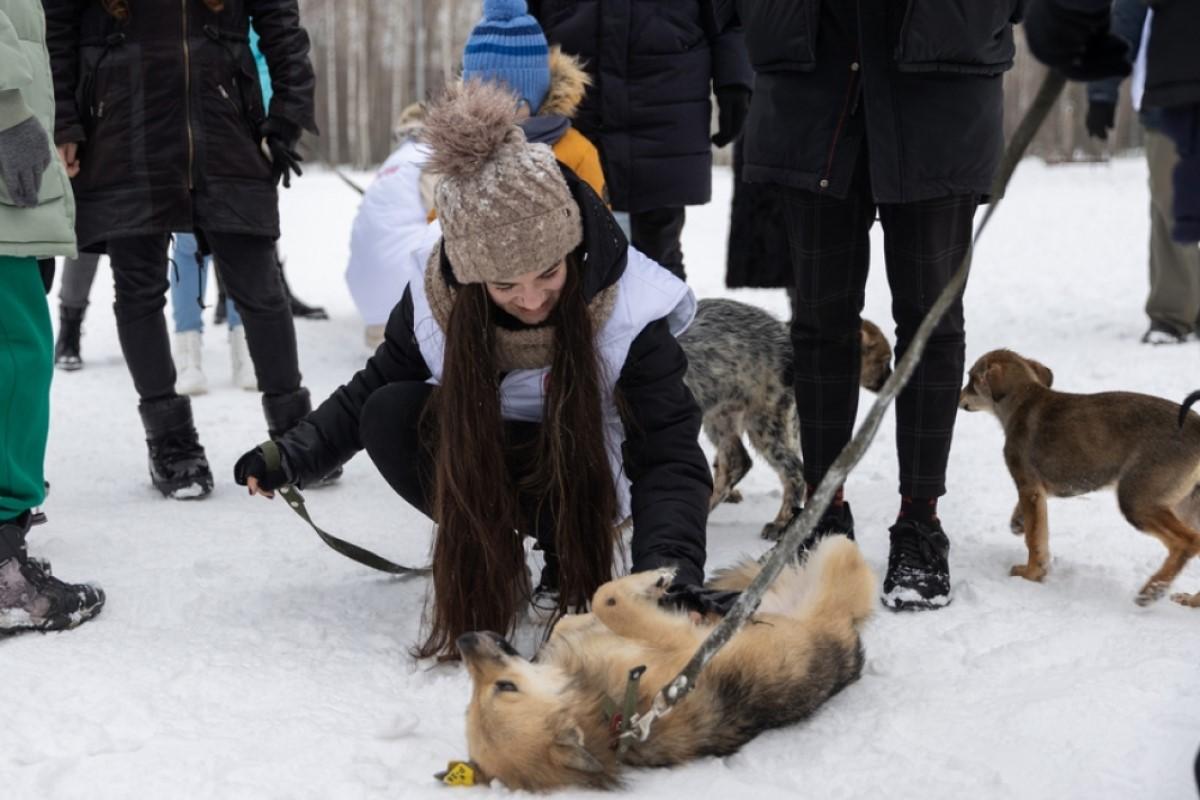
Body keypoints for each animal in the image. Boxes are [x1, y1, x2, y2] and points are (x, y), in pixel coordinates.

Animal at [456, 534, 873, 791]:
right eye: (502, 687)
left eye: (471, 702)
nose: (464, 639)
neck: (612, 709)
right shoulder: (688, 646)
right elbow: (607, 599)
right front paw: (655, 580)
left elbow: (579, 615)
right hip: (834, 563)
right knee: (838, 545)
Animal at [676, 297, 892, 542]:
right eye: (884, 362)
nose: (889, 379)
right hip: (721, 415)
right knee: (736, 462)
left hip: (764, 420)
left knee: (792, 469)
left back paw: (781, 523)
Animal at [955, 350, 1200, 606]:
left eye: (972, 379)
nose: (958, 398)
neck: (1023, 400)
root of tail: (1196, 425)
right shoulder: (1037, 491)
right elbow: (1031, 524)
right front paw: (1017, 522)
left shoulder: (1028, 485)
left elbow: (1035, 538)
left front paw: (1031, 573)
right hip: (1184, 504)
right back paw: (1191, 601)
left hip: (1137, 498)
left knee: (1189, 542)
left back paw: (1152, 590)